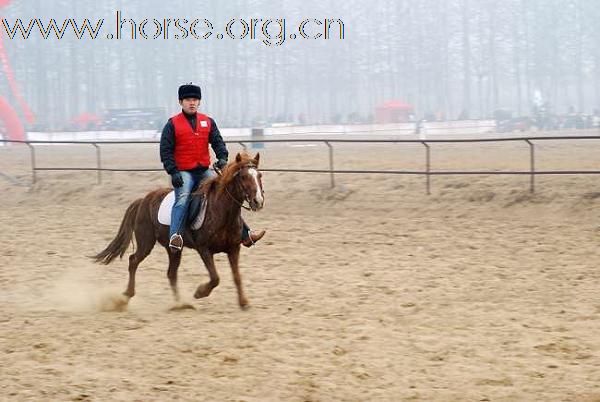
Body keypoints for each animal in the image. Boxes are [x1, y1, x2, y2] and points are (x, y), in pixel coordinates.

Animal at [92, 152, 264, 310]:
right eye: (243, 177)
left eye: (259, 175)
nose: (258, 201)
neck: (220, 211)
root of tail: (143, 201)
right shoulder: (204, 249)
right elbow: (215, 277)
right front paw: (200, 292)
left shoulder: (233, 249)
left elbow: (237, 276)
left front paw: (244, 303)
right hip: (146, 242)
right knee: (133, 260)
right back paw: (126, 296)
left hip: (173, 249)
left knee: (171, 273)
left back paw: (180, 304)